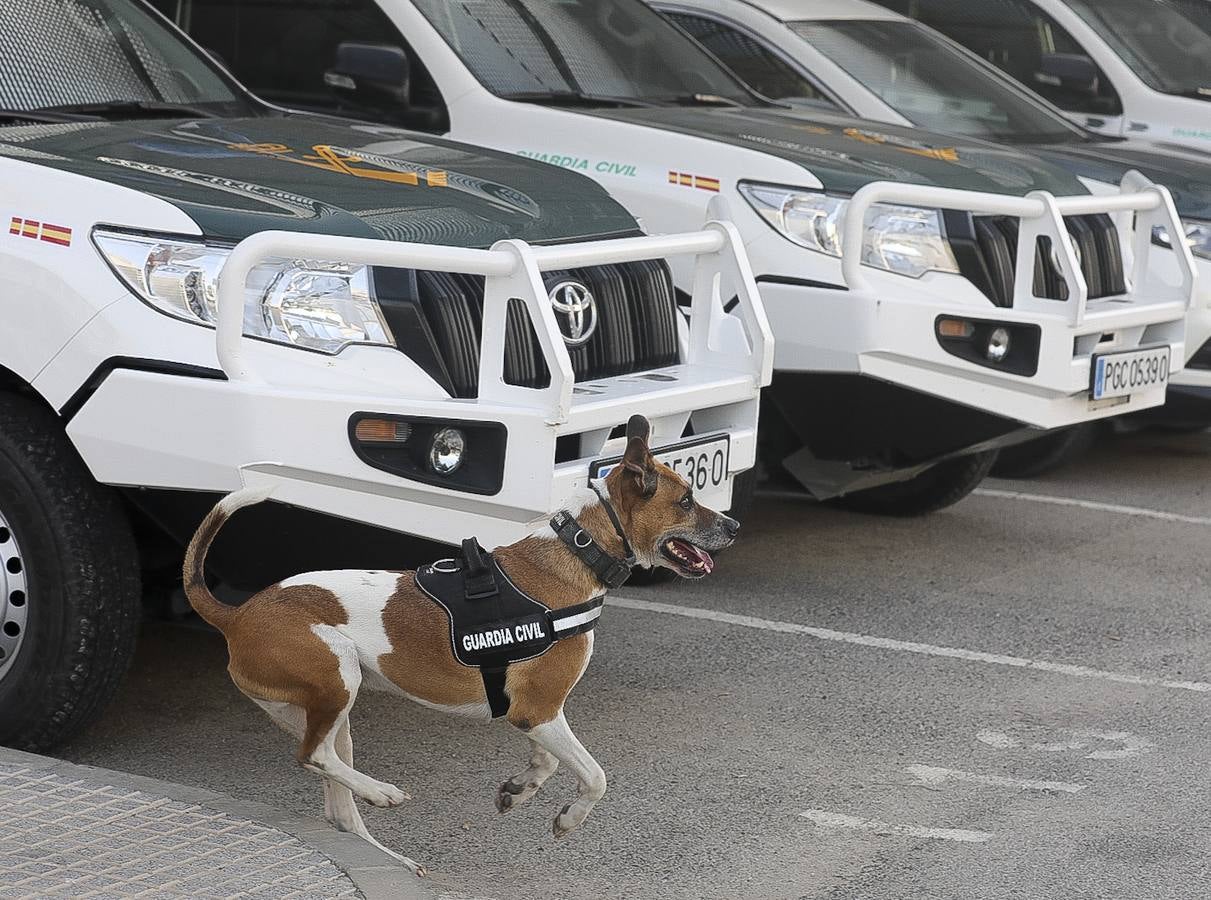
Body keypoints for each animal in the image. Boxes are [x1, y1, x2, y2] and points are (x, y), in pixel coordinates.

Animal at [180, 414, 736, 872]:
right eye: (686, 500)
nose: (732, 525)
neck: (578, 549)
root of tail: (237, 613)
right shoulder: (538, 710)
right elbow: (595, 775)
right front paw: (570, 817)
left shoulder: (536, 715)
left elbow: (549, 762)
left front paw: (519, 790)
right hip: (338, 678)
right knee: (312, 755)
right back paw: (383, 793)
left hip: (334, 713)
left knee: (337, 802)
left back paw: (391, 853)